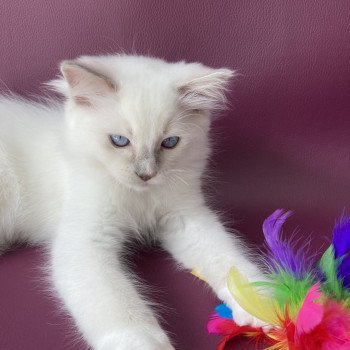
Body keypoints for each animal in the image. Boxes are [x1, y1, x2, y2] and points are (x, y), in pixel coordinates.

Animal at [0, 54, 262, 348]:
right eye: (119, 141)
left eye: (170, 142)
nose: (146, 174)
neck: (139, 196)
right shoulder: (85, 242)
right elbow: (119, 309)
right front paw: (143, 343)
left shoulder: (184, 217)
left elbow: (227, 257)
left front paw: (263, 303)